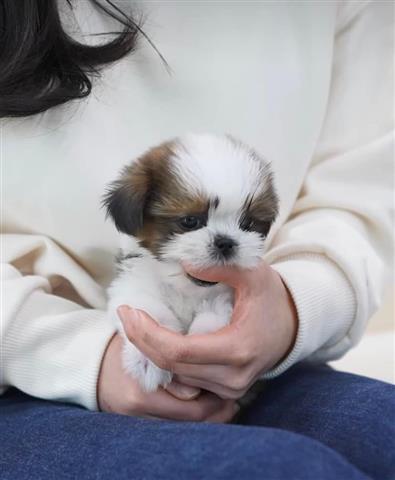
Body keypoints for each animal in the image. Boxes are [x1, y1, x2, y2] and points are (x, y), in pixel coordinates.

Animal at [103, 133, 280, 392]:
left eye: (247, 224)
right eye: (189, 221)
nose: (226, 242)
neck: (185, 288)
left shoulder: (226, 295)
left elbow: (216, 310)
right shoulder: (133, 286)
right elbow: (149, 311)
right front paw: (147, 359)